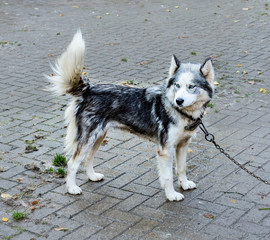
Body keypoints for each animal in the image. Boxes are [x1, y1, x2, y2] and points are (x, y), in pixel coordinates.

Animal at [47, 31, 214, 202]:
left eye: (191, 86)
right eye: (177, 85)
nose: (178, 101)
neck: (180, 112)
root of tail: (88, 89)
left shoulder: (182, 145)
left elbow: (182, 168)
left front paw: (184, 184)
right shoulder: (165, 149)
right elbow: (168, 176)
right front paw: (171, 194)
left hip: (98, 136)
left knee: (88, 158)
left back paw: (92, 176)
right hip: (87, 139)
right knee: (72, 163)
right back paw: (71, 188)